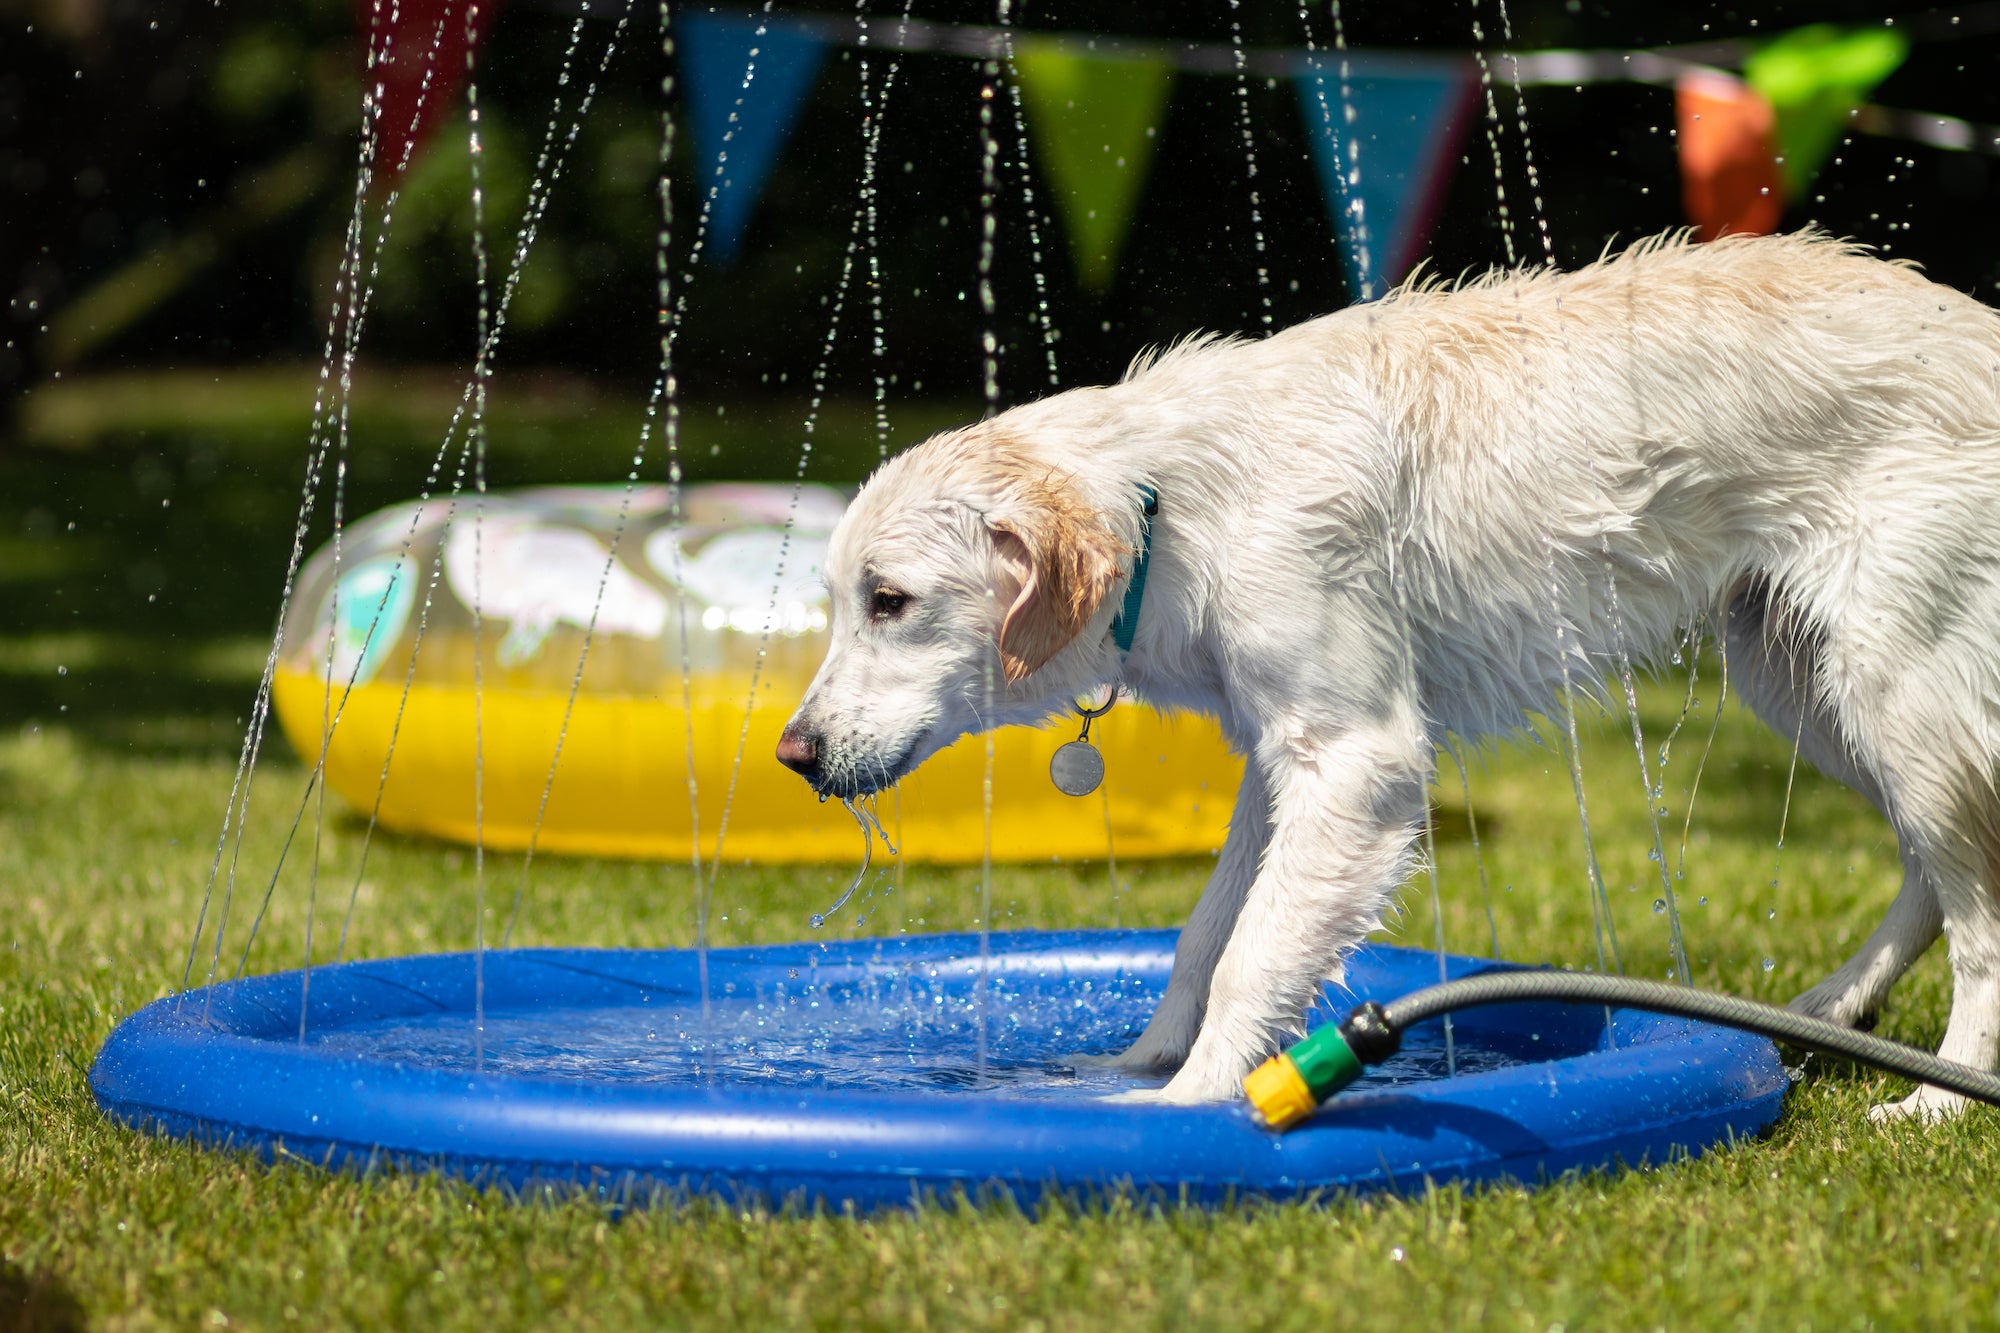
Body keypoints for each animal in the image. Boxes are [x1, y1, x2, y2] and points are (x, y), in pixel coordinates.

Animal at [772, 233, 2000, 1112]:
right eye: (841, 601)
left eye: (889, 601)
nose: (791, 752)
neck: (1168, 503)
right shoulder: (1279, 764)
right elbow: (1205, 934)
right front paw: (1134, 1064)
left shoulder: (1355, 762)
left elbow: (1251, 954)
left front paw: (1189, 1102)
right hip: (1799, 680)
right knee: (1926, 872)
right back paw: (1835, 1009)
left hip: (1890, 680)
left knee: (1975, 896)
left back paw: (1942, 1097)